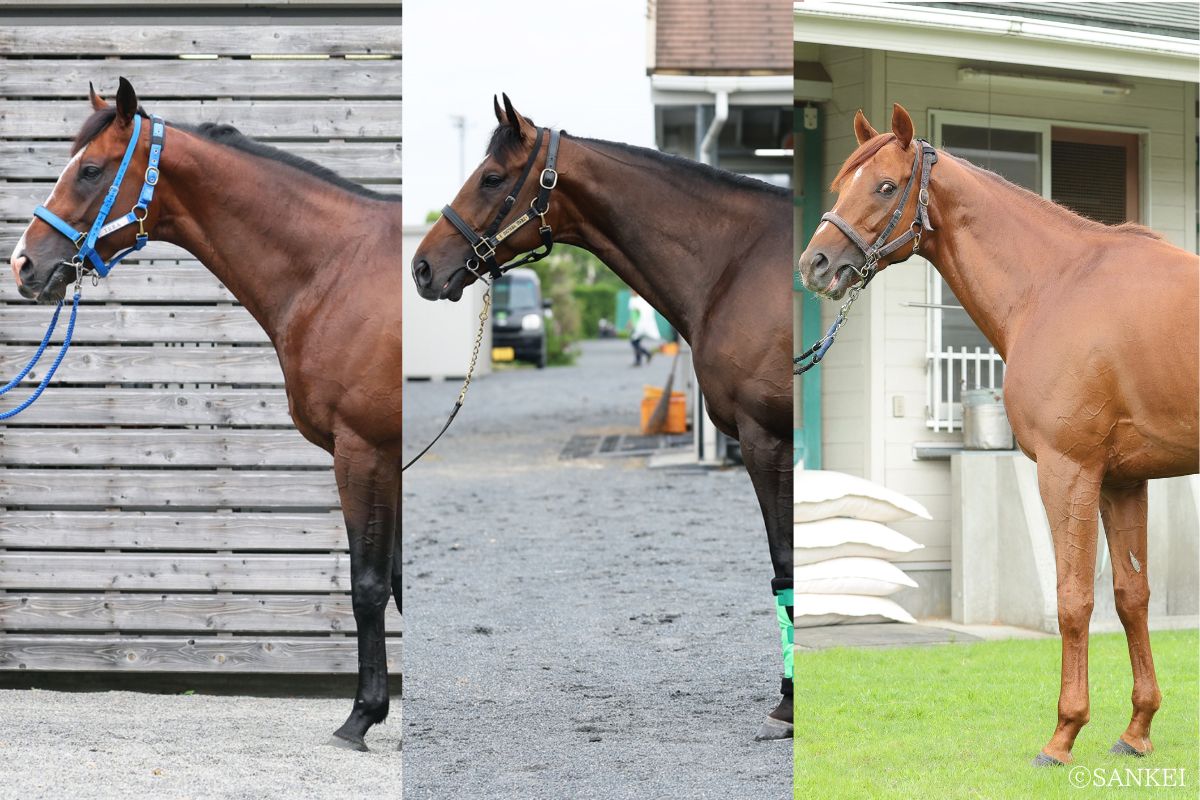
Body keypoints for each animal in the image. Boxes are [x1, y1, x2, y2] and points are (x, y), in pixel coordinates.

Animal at [7, 78, 404, 752]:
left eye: (90, 170)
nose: (23, 264)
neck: (338, 268)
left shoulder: (365, 451)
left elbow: (370, 586)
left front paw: (360, 717)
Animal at [410, 95, 795, 740]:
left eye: (491, 177)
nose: (421, 268)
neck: (739, 264)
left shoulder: (768, 440)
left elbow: (785, 561)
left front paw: (789, 704)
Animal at [798, 103, 1199, 765]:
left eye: (884, 186)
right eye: (839, 185)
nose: (815, 265)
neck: (1057, 286)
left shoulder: (1069, 471)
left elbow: (1072, 600)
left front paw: (1063, 734)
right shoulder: (1123, 481)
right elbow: (1131, 596)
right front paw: (1137, 729)